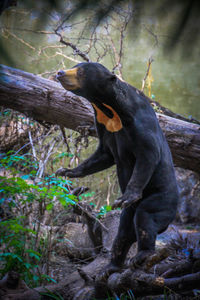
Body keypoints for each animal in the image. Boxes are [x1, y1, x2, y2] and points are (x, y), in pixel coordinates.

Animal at [55, 62, 178, 278]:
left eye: (81, 71)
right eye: (75, 66)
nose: (60, 73)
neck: (110, 111)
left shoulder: (140, 125)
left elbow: (148, 156)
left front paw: (127, 196)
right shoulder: (104, 127)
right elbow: (104, 155)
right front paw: (66, 171)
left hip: (162, 199)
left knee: (145, 217)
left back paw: (142, 255)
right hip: (129, 214)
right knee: (124, 232)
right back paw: (110, 267)